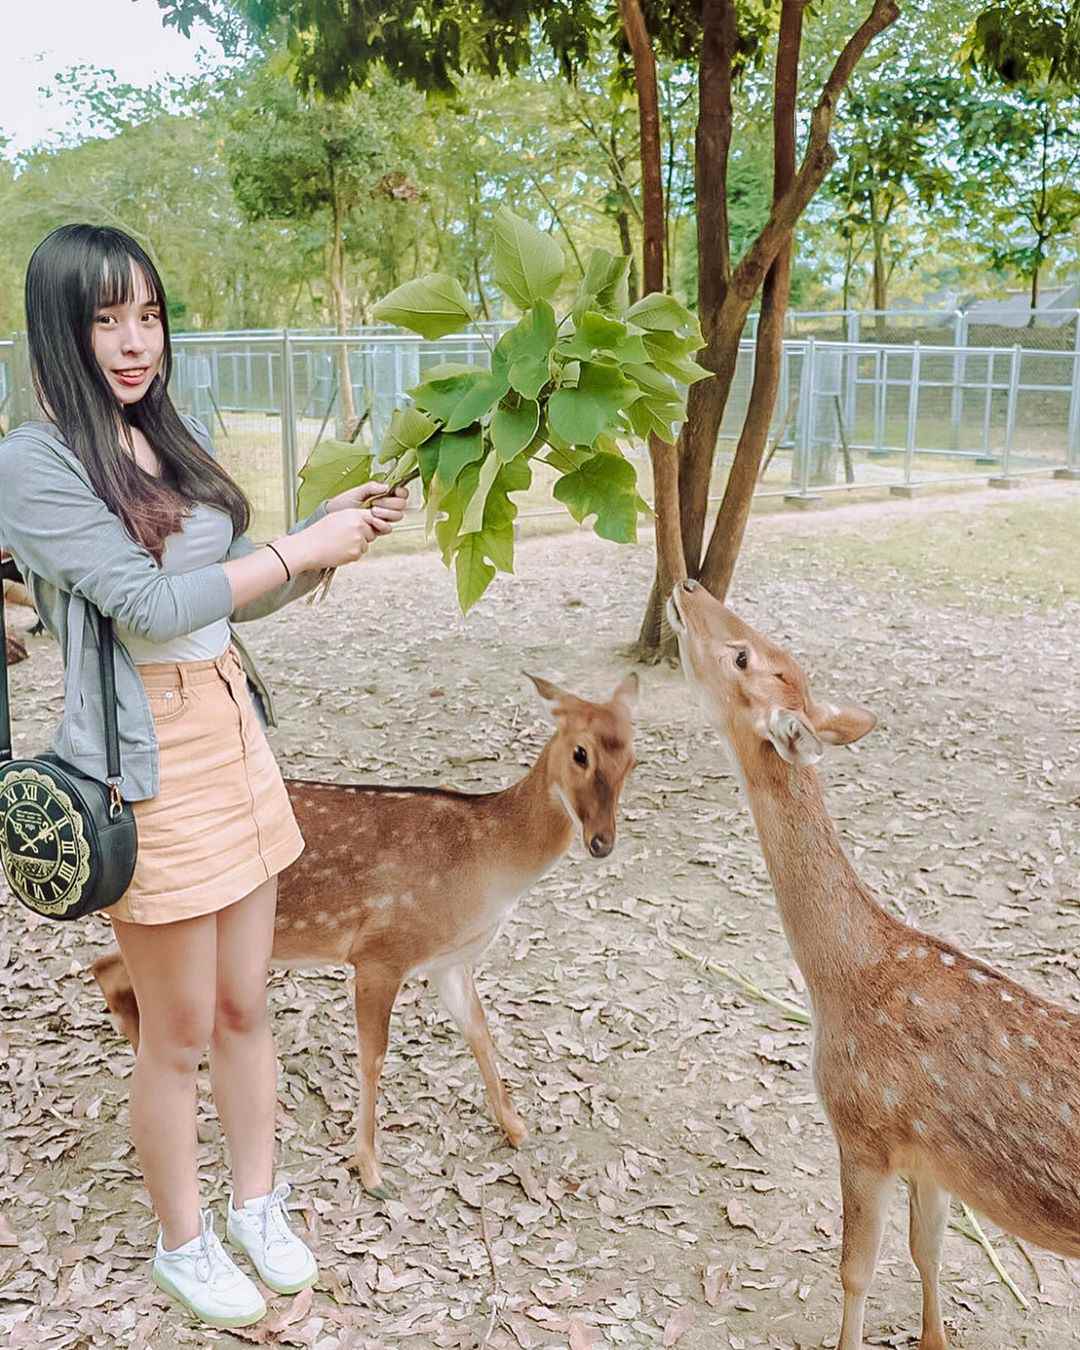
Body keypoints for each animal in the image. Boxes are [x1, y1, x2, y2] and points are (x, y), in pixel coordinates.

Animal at [93, 672, 637, 1193]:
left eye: (633, 758)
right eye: (580, 752)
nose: (602, 842)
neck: (485, 866)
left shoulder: (450, 960)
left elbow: (479, 1031)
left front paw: (516, 1126)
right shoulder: (381, 951)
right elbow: (373, 1057)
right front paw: (371, 1168)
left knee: (107, 969)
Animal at [666, 580, 1080, 1350]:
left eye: (742, 657)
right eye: (773, 650)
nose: (688, 585)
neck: (843, 979)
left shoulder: (864, 1127)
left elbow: (855, 1270)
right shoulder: (933, 1159)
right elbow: (928, 1250)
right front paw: (933, 1338)